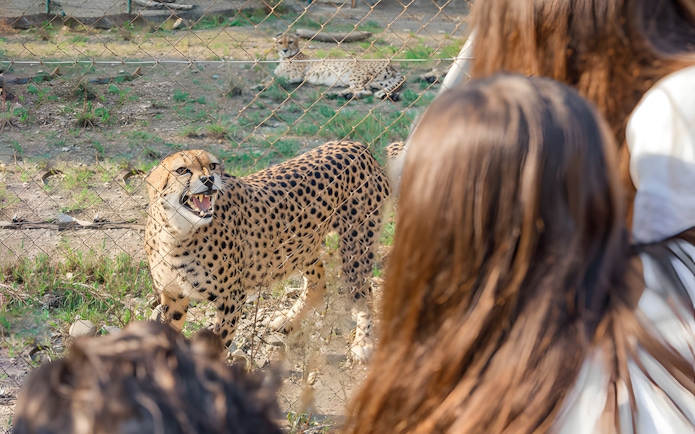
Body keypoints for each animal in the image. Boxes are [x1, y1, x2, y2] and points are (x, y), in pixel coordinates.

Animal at [144, 141, 391, 363]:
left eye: (212, 166)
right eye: (182, 170)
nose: (209, 180)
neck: (176, 233)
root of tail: (354, 144)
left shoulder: (231, 299)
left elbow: (220, 343)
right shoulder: (173, 296)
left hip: (355, 246)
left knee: (364, 293)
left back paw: (363, 343)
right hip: (299, 246)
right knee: (319, 283)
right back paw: (290, 320)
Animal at [271, 33, 405, 100]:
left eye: (290, 42)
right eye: (280, 42)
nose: (284, 50)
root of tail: (392, 65)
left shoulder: (297, 75)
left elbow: (275, 79)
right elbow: (275, 76)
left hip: (356, 74)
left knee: (360, 89)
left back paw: (336, 94)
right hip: (375, 83)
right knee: (366, 91)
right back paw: (342, 95)